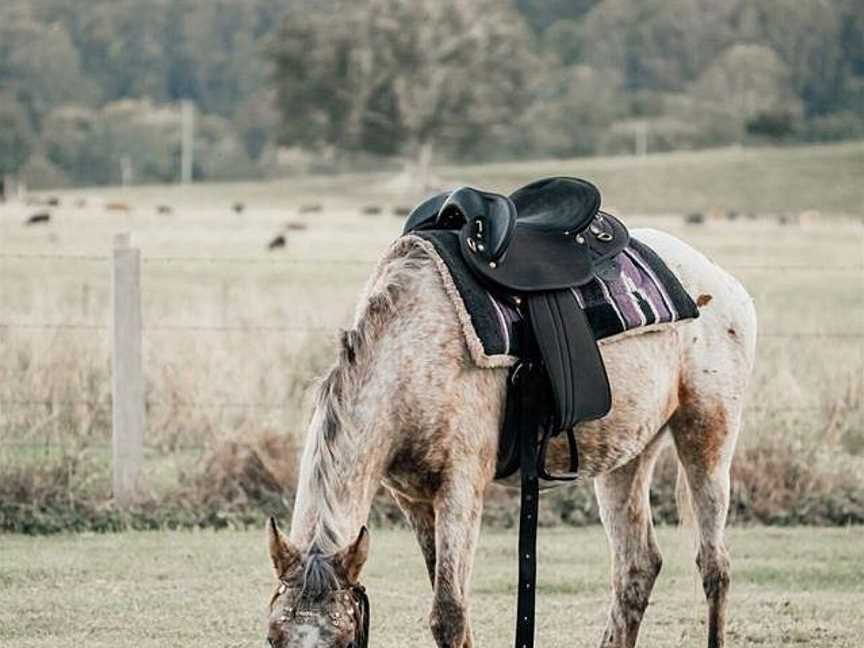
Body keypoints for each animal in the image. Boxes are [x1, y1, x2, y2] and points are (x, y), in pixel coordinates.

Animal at [264, 225, 756, 644]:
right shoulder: (413, 499)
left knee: (714, 566)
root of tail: (725, 283)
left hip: (707, 437)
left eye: (344, 640)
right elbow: (454, 609)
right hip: (627, 456)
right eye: (273, 637)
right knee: (637, 568)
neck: (410, 353)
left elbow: (448, 614)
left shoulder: (461, 488)